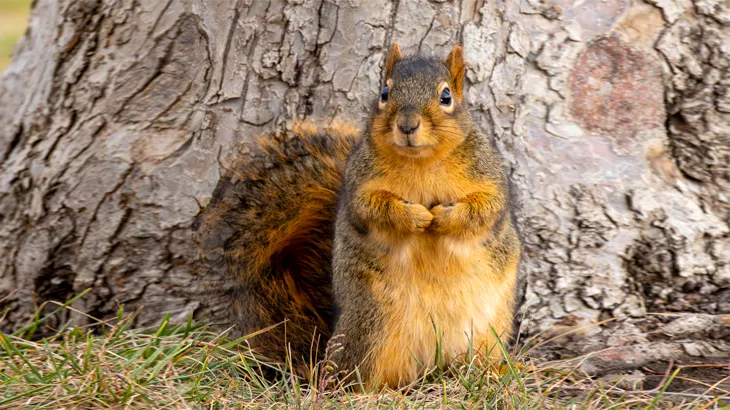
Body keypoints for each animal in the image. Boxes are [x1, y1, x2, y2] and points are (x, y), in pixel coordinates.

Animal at [197, 43, 521, 388]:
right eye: (384, 93)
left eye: (446, 97)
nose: (407, 125)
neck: (420, 161)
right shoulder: (359, 183)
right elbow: (373, 209)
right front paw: (416, 217)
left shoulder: (488, 175)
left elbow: (485, 208)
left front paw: (443, 218)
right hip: (371, 327)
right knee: (357, 377)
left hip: (487, 333)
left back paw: (493, 373)